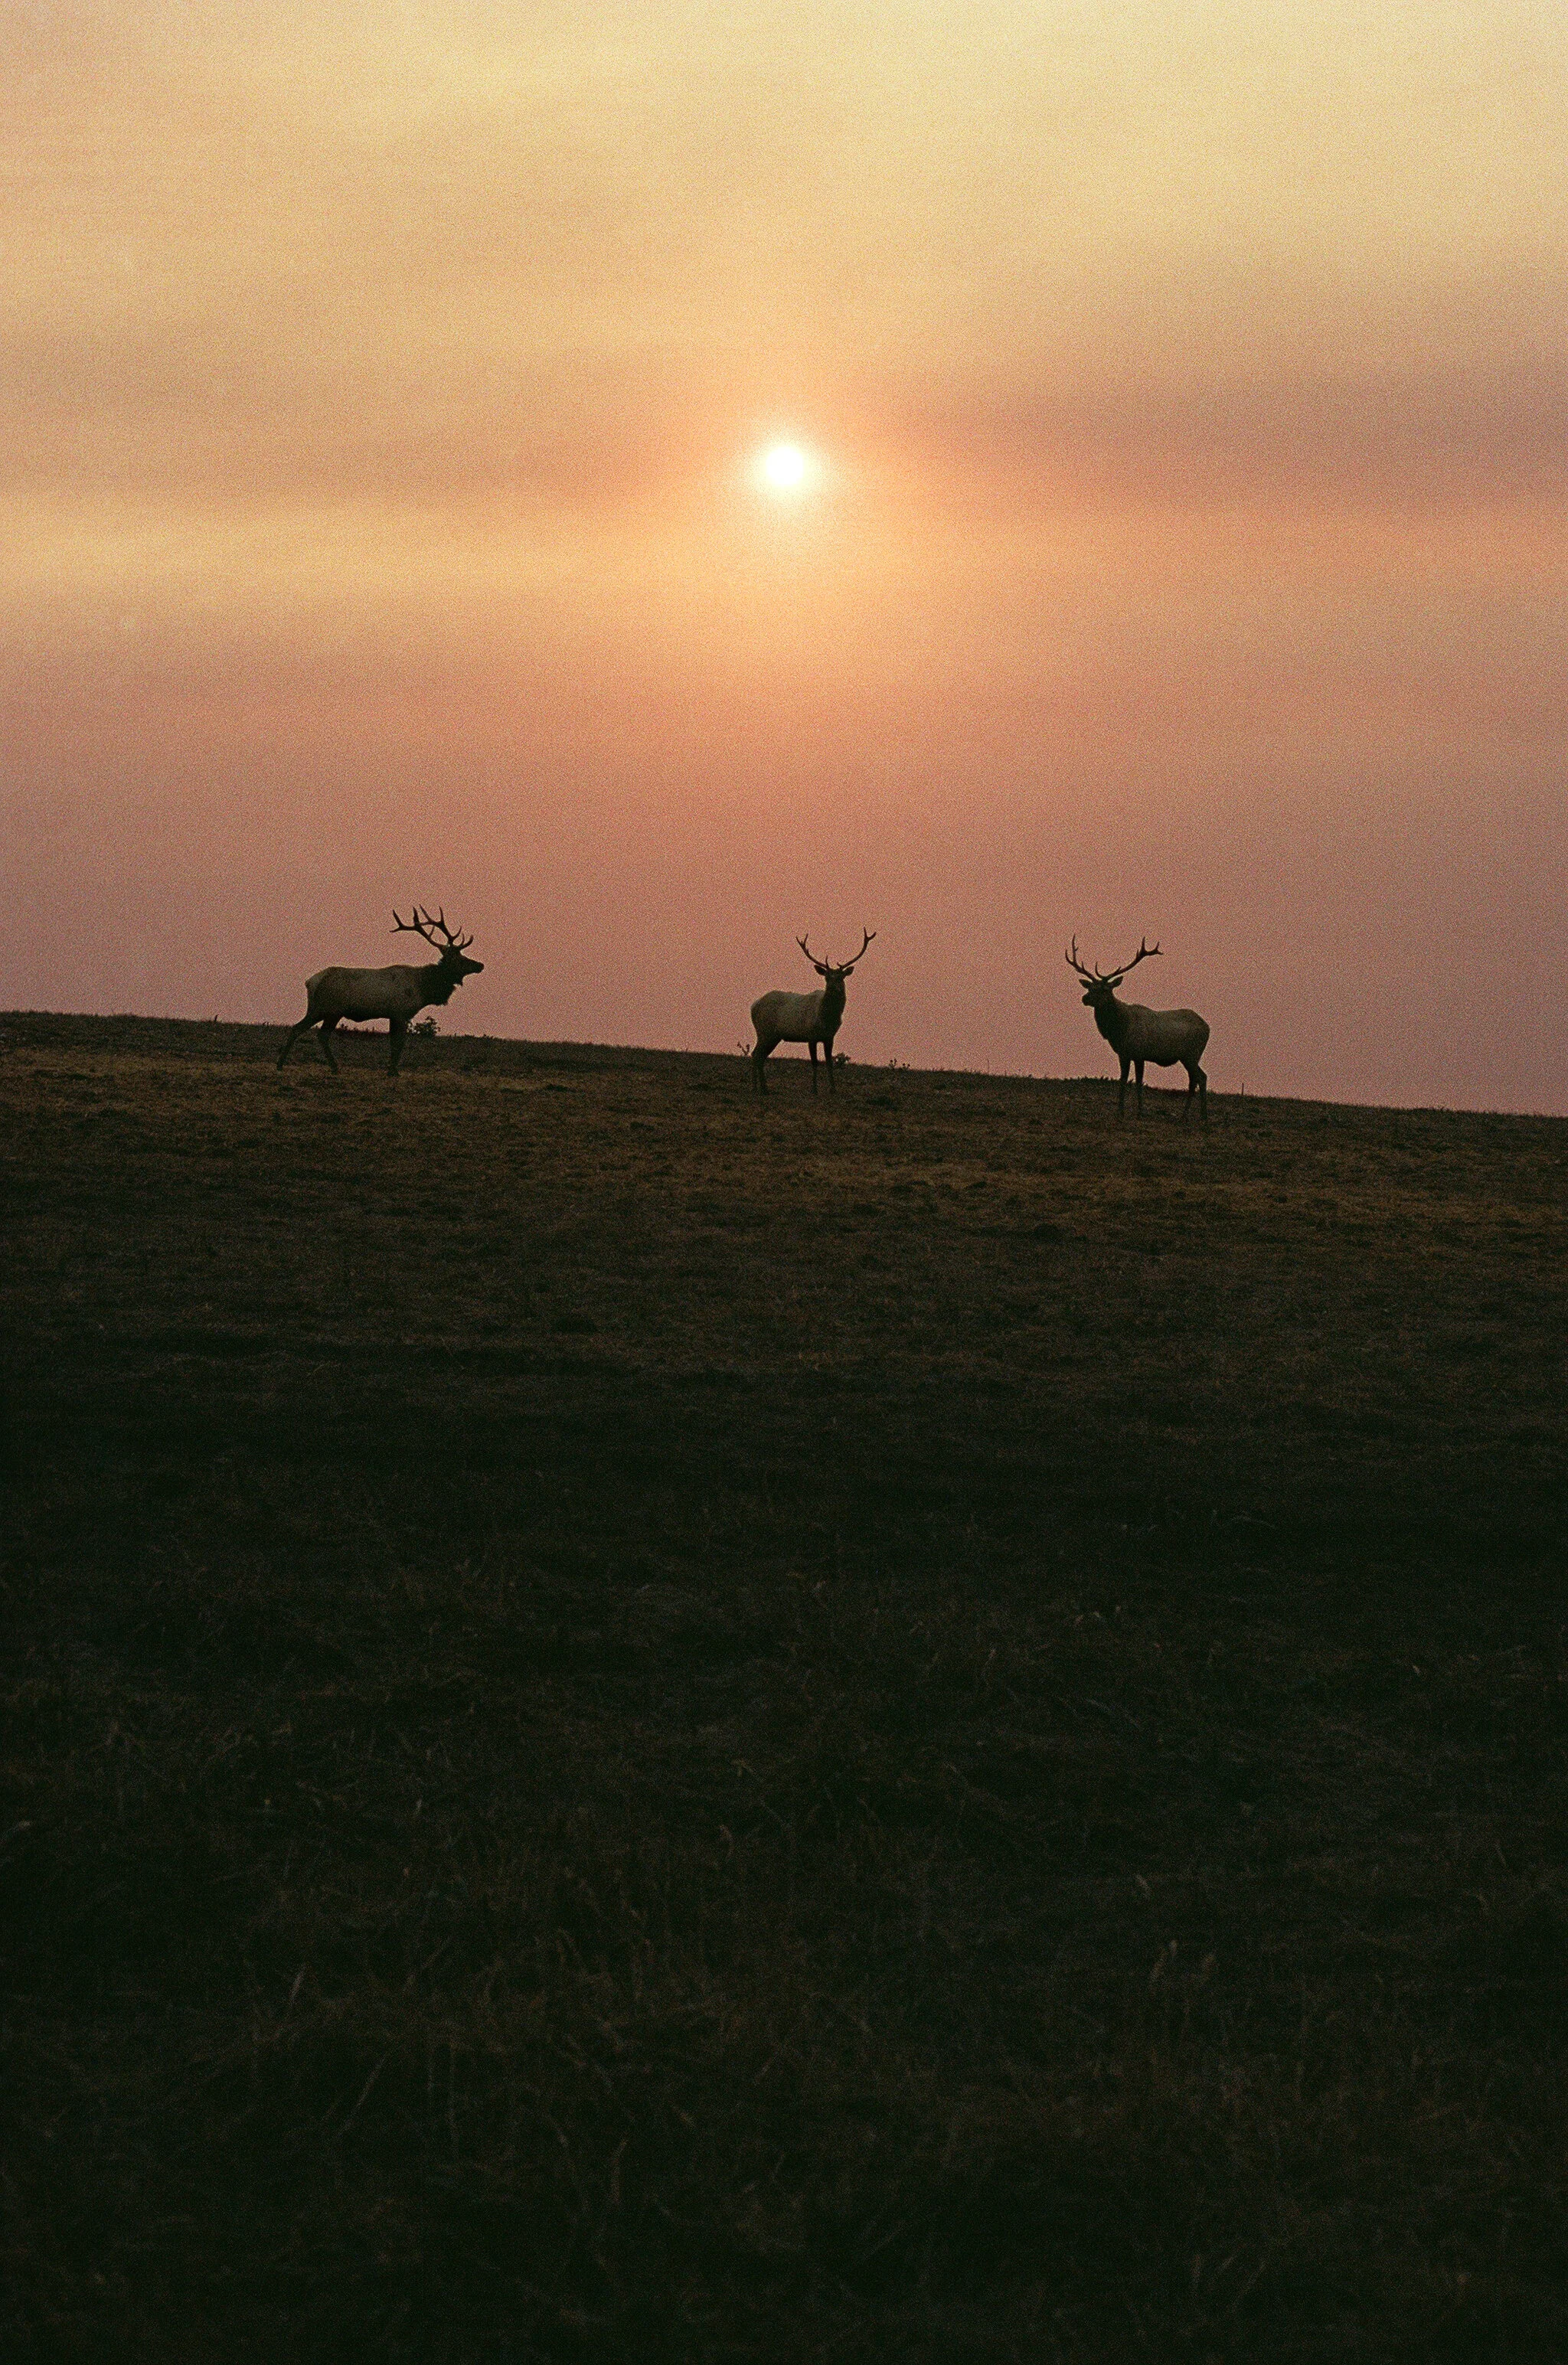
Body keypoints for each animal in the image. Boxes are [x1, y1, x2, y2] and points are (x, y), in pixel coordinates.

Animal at [277, 907, 484, 1077]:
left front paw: (391, 1070)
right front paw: (394, 1071)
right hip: (329, 1009)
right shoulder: (400, 1012)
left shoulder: (393, 1015)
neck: (423, 988)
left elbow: (394, 1043)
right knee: (313, 1033)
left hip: (320, 1009)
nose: (480, 965)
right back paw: (308, 1066)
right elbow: (399, 1043)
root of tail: (310, 982)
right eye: (460, 958)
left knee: (303, 1029)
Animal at [750, 930, 875, 1095]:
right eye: (827, 978)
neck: (827, 1019)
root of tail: (754, 1006)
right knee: (756, 1055)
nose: (834, 988)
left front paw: (833, 1089)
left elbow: (829, 1062)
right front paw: (814, 1089)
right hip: (765, 1031)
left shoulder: (830, 1037)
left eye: (841, 977)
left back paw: (763, 1088)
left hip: (773, 1035)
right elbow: (815, 1063)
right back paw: (756, 1087)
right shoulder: (810, 1035)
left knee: (759, 1056)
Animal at [1067, 937, 1210, 1120]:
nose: (1085, 998)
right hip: (1189, 1056)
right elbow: (1123, 1080)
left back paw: (1201, 1116)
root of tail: (1207, 1027)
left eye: (1105, 989)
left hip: (1191, 1053)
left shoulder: (1139, 1053)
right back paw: (1189, 1116)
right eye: (1090, 987)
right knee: (1196, 1079)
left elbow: (1139, 1082)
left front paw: (1140, 1111)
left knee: (1200, 1078)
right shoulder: (1123, 1054)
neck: (1120, 1030)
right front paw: (1120, 1111)